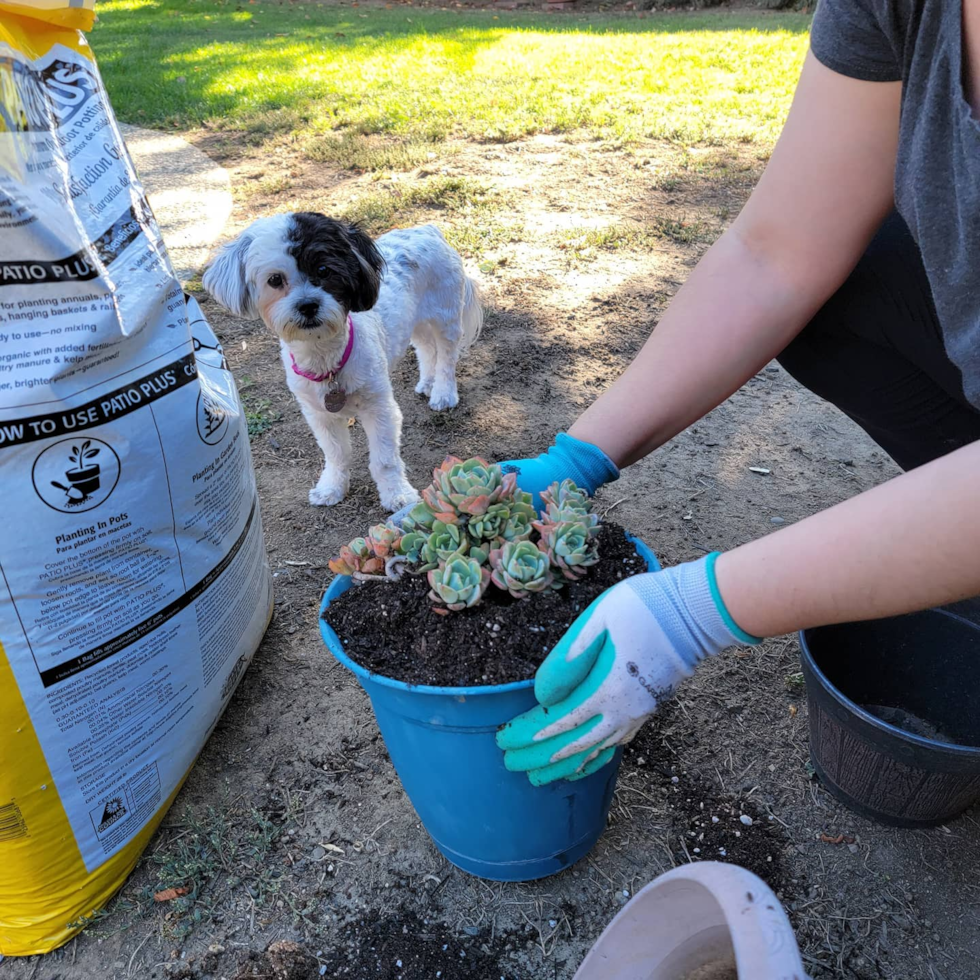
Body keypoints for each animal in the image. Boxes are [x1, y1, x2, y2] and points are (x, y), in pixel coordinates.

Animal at [206, 211, 482, 510]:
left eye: (324, 270)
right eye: (275, 280)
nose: (307, 305)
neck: (327, 361)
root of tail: (426, 229)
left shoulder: (380, 409)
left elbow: (384, 460)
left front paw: (397, 494)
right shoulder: (318, 415)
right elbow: (335, 453)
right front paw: (331, 488)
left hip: (446, 316)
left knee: (446, 356)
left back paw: (443, 392)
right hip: (414, 321)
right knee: (426, 348)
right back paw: (428, 382)